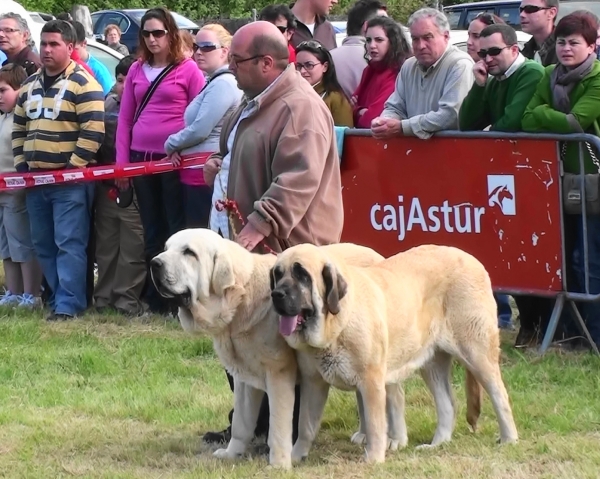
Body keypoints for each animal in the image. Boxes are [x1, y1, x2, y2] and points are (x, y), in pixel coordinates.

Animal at [150, 231, 384, 470]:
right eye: (166, 248)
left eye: (189, 252)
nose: (154, 263)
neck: (240, 300)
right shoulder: (244, 378)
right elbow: (241, 423)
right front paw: (232, 453)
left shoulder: (279, 375)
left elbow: (279, 425)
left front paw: (279, 463)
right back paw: (363, 434)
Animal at [270, 246, 516, 464]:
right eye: (277, 274)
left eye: (302, 275)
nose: (276, 294)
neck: (337, 322)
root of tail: (472, 259)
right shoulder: (313, 382)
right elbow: (305, 425)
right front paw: (294, 457)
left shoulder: (371, 382)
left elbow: (375, 425)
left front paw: (374, 459)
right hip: (432, 363)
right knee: (448, 403)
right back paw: (437, 444)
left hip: (476, 353)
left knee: (500, 395)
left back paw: (509, 439)